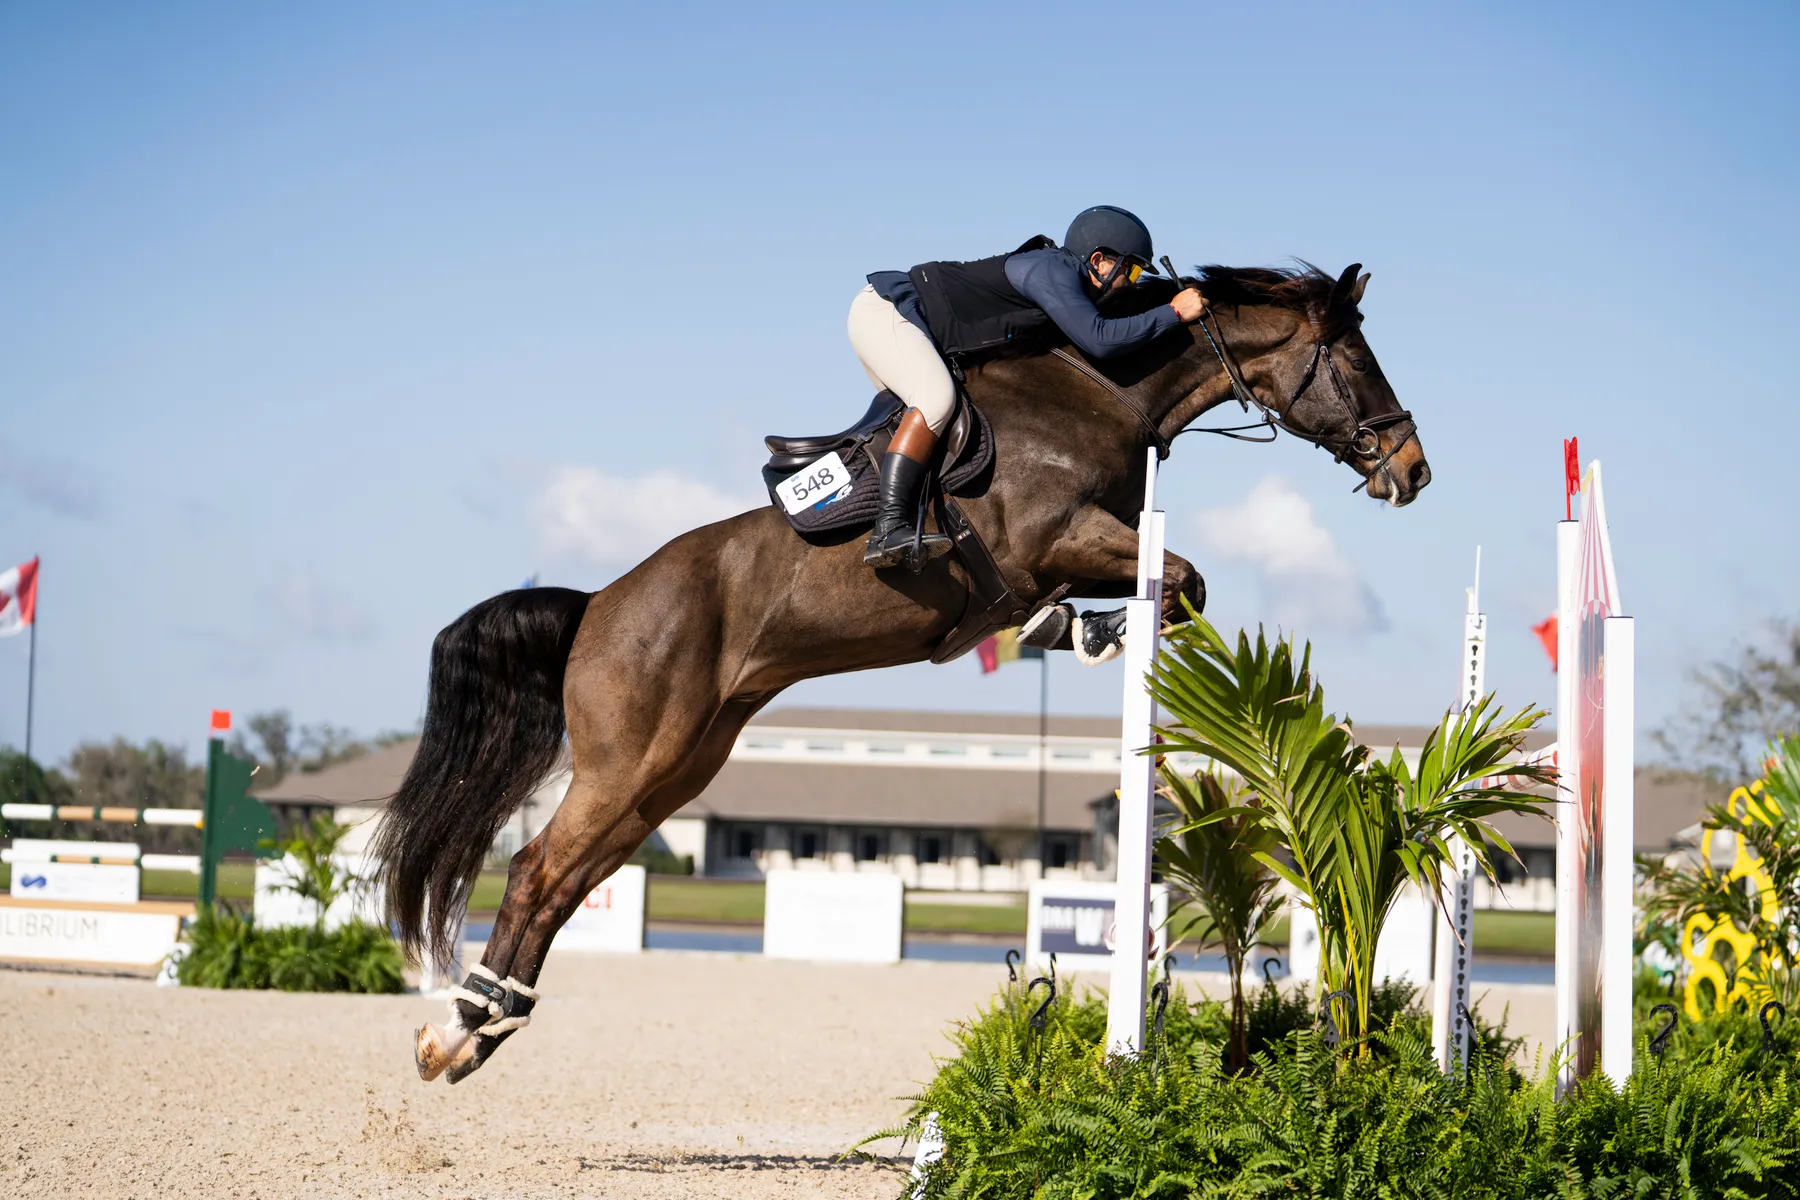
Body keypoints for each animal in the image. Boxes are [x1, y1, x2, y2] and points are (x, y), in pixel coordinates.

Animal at [376, 261, 1431, 1083]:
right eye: (1354, 361)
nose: (1414, 470)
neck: (1106, 388)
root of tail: (597, 604)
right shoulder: (1063, 535)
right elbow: (1179, 576)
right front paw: (1092, 628)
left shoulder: (1077, 549)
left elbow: (1169, 586)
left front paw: (1079, 630)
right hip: (632, 759)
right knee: (537, 868)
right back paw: (457, 1035)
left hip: (675, 769)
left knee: (569, 878)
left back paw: (479, 1029)